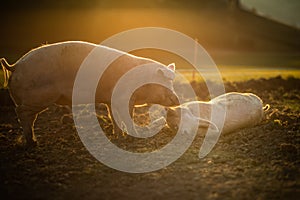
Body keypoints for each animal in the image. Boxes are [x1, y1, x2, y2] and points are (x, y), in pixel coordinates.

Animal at [1, 41, 178, 147]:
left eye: (172, 82)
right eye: (164, 82)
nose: (177, 99)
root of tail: (15, 65)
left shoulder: (110, 100)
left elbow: (114, 117)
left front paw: (117, 137)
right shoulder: (123, 98)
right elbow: (127, 116)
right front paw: (135, 135)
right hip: (38, 97)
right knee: (22, 113)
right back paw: (32, 142)